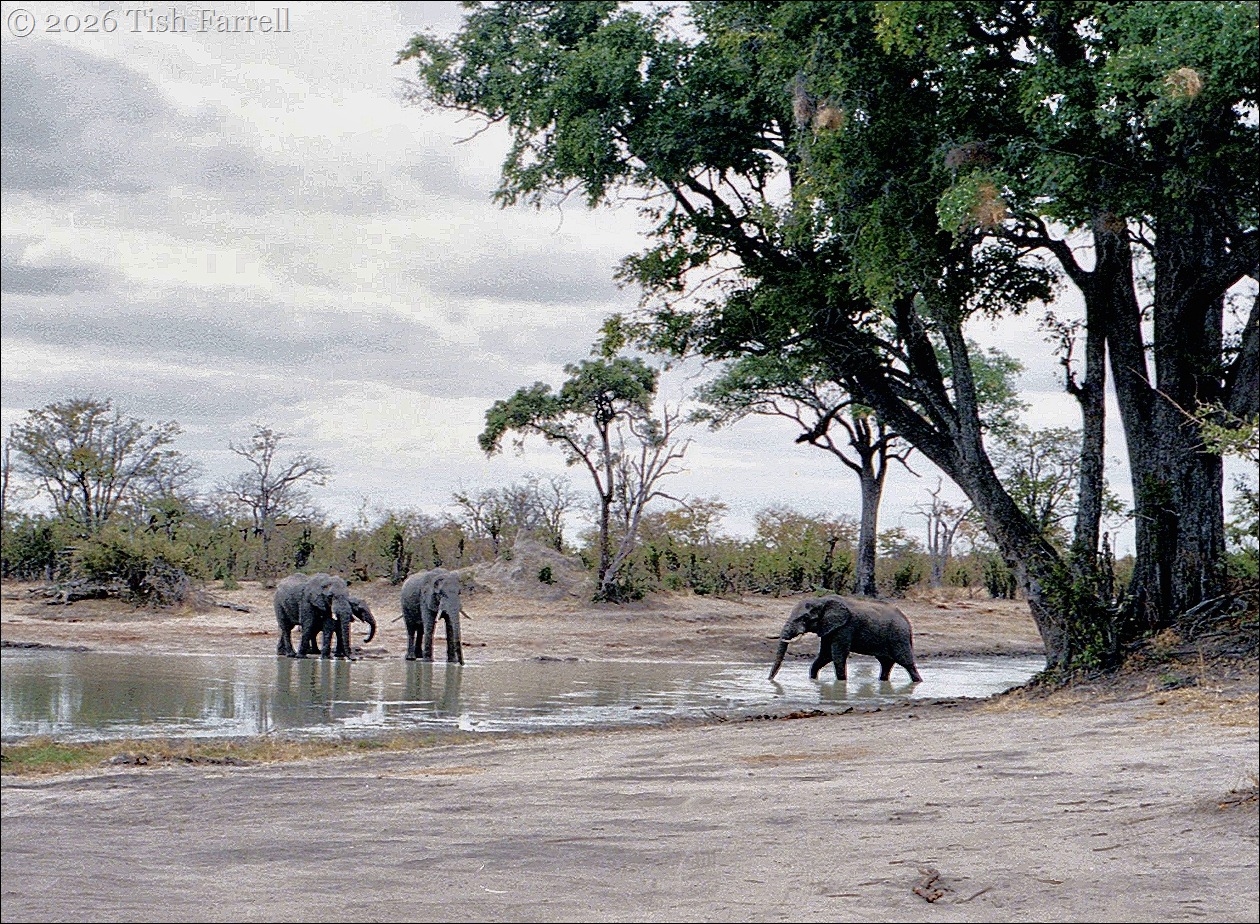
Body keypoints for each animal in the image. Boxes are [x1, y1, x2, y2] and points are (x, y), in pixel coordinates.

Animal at [768, 594, 923, 683]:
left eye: (805, 618)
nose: (769, 679)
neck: (822, 601)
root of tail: (906, 620)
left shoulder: (845, 627)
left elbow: (837, 655)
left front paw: (842, 682)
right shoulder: (828, 628)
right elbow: (825, 655)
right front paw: (813, 680)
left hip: (898, 635)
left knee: (905, 661)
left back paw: (918, 681)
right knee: (886, 663)